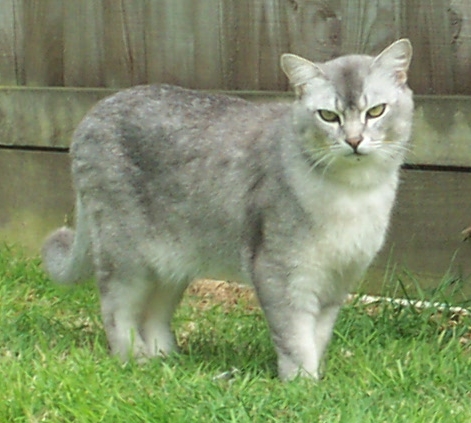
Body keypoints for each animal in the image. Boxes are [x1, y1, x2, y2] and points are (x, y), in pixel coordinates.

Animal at [42, 39, 414, 380]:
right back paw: (135, 359)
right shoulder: (281, 272)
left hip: (171, 264)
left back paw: (168, 360)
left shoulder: (336, 281)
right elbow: (296, 337)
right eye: (328, 116)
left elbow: (318, 337)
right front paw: (302, 384)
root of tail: (92, 113)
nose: (353, 141)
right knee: (116, 309)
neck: (354, 193)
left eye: (376, 111)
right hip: (126, 257)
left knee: (153, 314)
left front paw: (315, 379)